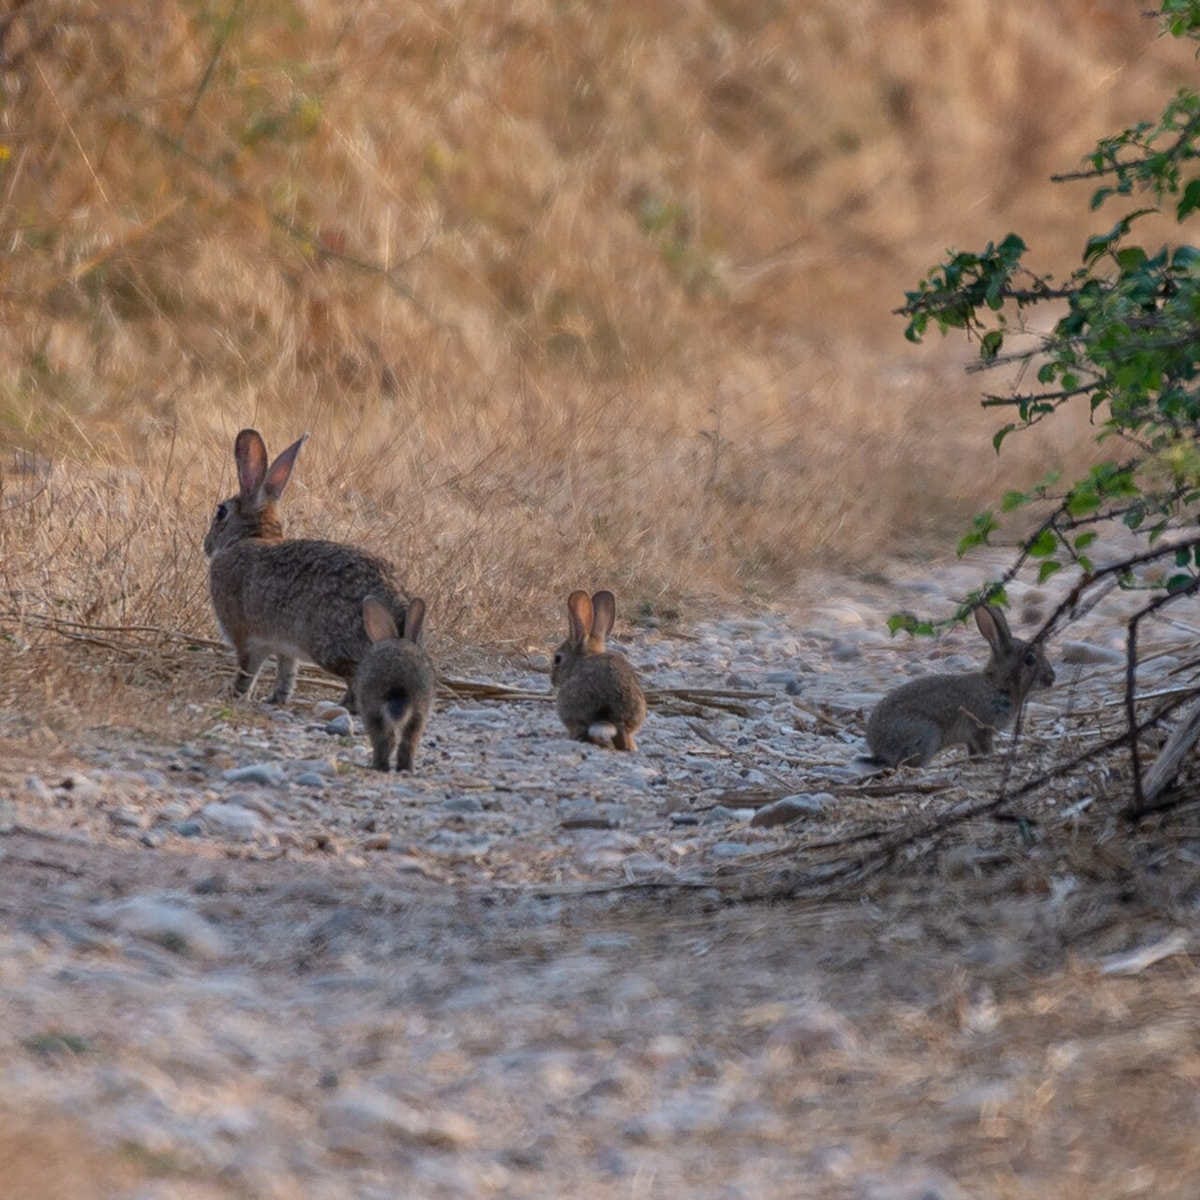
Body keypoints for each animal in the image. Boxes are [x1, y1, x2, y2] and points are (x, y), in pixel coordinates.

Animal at [203, 428, 408, 710]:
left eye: (221, 512)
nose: (206, 545)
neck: (250, 537)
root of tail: (397, 612)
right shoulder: (285, 648)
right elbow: (286, 673)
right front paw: (275, 699)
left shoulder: (246, 636)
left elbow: (247, 670)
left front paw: (234, 694)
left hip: (328, 645)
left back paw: (344, 706)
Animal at [354, 595, 435, 772]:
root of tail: (398, 685)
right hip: (419, 710)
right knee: (407, 742)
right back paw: (405, 769)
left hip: (371, 707)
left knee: (384, 739)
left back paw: (379, 766)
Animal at [865, 603, 1055, 768]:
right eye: (1030, 659)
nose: (1051, 678)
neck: (998, 684)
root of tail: (878, 748)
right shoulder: (981, 728)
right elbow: (985, 748)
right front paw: (991, 758)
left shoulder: (972, 738)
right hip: (927, 735)